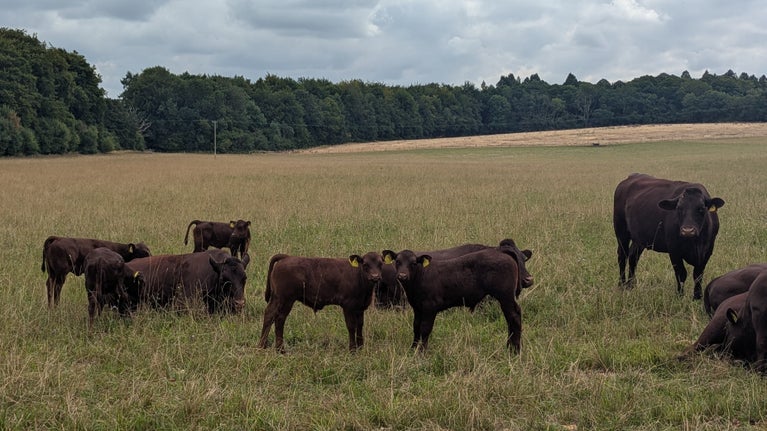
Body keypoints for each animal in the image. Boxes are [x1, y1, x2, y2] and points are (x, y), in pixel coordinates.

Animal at [381, 247, 527, 353]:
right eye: (397, 261)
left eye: (413, 263)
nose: (402, 276)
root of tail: (499, 251)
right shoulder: (417, 307)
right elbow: (416, 327)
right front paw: (412, 349)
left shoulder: (430, 307)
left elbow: (425, 328)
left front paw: (422, 352)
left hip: (505, 296)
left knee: (514, 316)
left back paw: (514, 350)